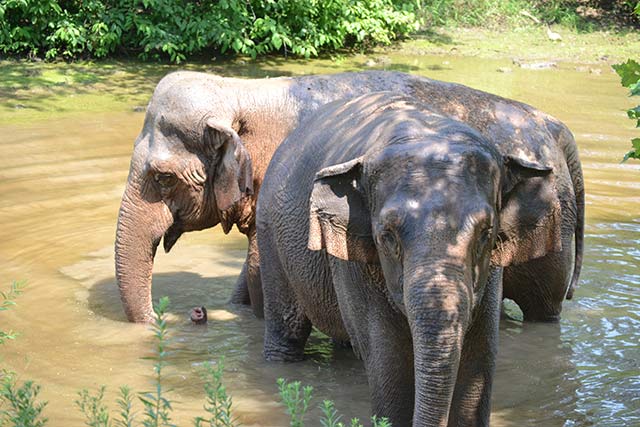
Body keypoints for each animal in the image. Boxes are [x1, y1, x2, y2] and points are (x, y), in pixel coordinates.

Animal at [112, 70, 584, 324]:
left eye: (163, 178)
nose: (165, 319)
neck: (243, 91)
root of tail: (555, 127)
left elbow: (261, 275)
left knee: (543, 309)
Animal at [255, 92, 568, 426]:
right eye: (388, 235)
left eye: (486, 232)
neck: (428, 128)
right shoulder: (354, 261)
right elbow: (390, 361)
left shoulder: (491, 271)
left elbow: (479, 357)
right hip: (270, 235)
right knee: (286, 330)